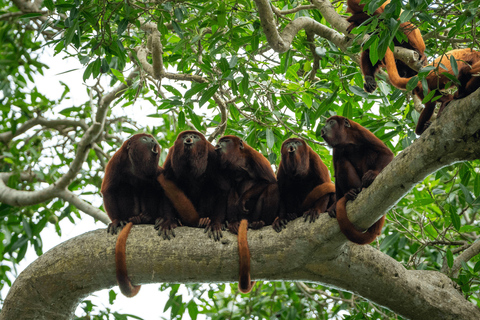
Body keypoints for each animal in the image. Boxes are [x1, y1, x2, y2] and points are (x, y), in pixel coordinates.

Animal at [101, 133, 163, 298]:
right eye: (145, 139)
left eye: (151, 138)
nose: (153, 140)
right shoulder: (116, 161)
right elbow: (108, 190)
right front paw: (116, 221)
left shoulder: (157, 170)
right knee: (124, 187)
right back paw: (133, 218)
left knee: (149, 186)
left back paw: (148, 217)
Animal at [216, 135, 280, 292]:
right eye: (220, 142)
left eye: (225, 141)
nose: (218, 145)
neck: (239, 162)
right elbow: (230, 189)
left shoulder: (256, 158)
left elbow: (269, 181)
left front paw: (244, 199)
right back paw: (233, 223)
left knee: (272, 187)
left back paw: (260, 222)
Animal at [320, 117, 392, 245]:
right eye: (326, 123)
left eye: (331, 122)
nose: (323, 127)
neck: (347, 139)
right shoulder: (336, 149)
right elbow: (336, 174)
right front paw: (334, 205)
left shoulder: (362, 133)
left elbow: (386, 153)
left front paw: (373, 174)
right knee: (341, 162)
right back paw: (351, 192)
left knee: (370, 151)